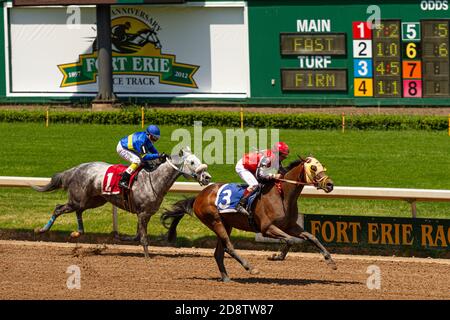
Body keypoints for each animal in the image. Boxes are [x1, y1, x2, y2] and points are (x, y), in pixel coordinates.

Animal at [32, 147, 212, 258]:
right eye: (192, 162)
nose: (207, 177)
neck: (154, 179)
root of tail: (75, 169)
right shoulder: (143, 213)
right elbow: (143, 238)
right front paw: (147, 258)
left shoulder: (144, 214)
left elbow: (137, 236)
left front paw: (119, 236)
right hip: (79, 199)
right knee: (58, 208)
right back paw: (42, 229)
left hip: (93, 200)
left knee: (78, 211)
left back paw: (77, 232)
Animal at [160, 156, 336, 282]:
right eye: (314, 167)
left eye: (323, 166)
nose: (330, 185)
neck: (282, 194)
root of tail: (199, 196)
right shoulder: (267, 228)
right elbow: (289, 240)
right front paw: (275, 256)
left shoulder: (291, 226)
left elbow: (311, 237)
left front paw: (331, 261)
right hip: (215, 221)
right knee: (229, 247)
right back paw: (251, 268)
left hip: (226, 224)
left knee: (219, 253)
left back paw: (226, 278)